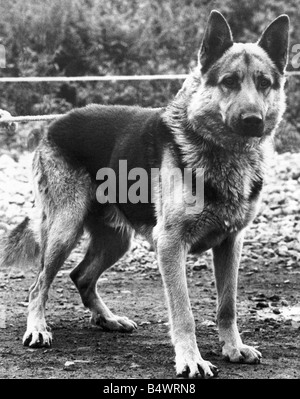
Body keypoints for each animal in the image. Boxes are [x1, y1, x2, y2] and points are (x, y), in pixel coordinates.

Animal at [1, 10, 290, 378]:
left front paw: (233, 347)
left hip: (116, 240)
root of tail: (55, 122)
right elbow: (183, 312)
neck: (225, 153)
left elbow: (228, 305)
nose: (253, 120)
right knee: (39, 283)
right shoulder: (171, 245)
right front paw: (190, 359)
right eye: (229, 81)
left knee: (81, 276)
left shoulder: (231, 243)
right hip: (65, 229)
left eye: (264, 83)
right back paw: (37, 328)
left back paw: (108, 319)